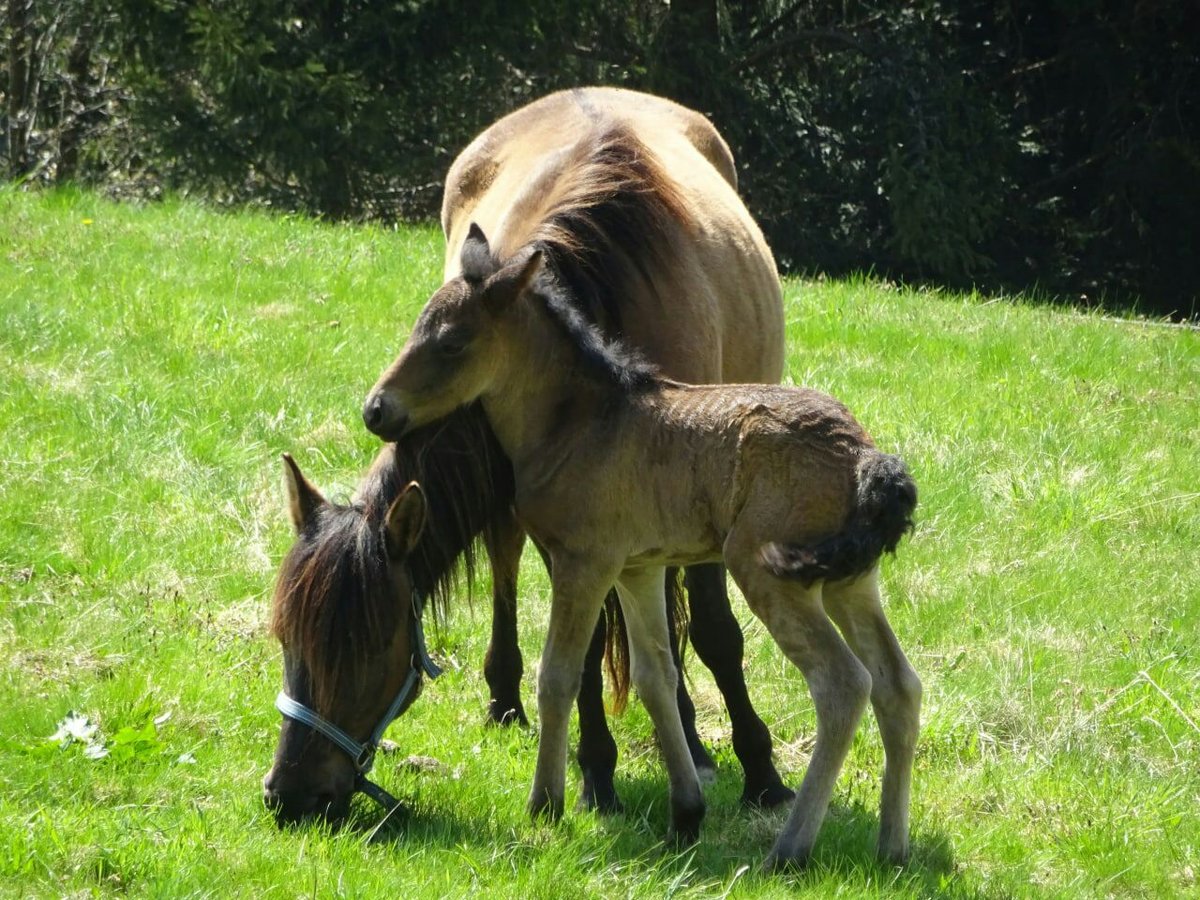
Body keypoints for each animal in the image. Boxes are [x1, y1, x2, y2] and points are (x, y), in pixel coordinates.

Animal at [265, 88, 787, 830]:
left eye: (370, 647)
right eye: (287, 639)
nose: (289, 794)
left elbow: (714, 632)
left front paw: (760, 771)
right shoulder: (564, 527)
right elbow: (586, 648)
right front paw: (596, 772)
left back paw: (689, 737)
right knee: (511, 568)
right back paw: (507, 697)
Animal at [360, 195, 921, 859]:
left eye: (451, 343)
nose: (376, 410)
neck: (580, 422)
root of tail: (867, 458)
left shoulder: (584, 561)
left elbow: (560, 676)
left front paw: (547, 802)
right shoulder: (638, 567)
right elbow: (657, 676)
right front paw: (686, 811)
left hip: (768, 571)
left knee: (842, 684)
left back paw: (789, 848)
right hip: (849, 580)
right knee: (898, 683)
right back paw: (892, 848)